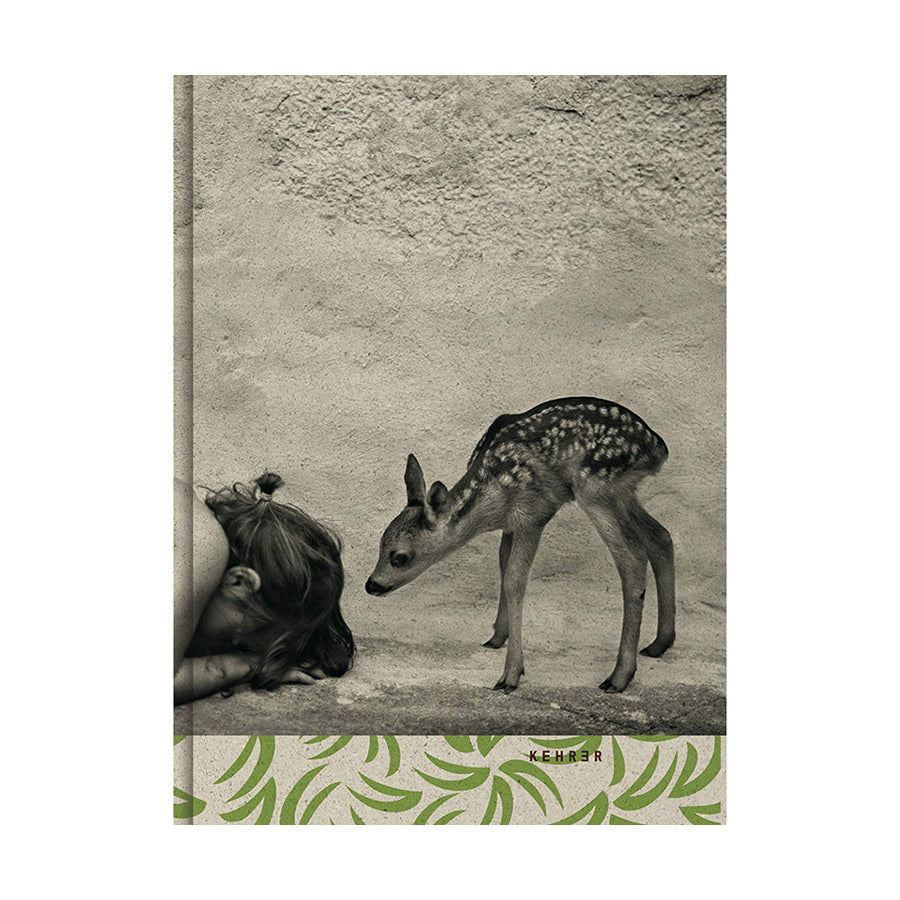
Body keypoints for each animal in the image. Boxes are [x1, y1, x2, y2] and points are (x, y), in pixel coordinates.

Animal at [365, 397, 675, 694]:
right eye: (380, 543)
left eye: (400, 557)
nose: (371, 584)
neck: (491, 500)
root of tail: (658, 447)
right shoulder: (510, 525)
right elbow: (503, 566)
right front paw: (496, 637)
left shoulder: (533, 514)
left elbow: (515, 580)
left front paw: (510, 675)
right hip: (621, 492)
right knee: (661, 536)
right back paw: (659, 643)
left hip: (596, 487)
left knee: (632, 558)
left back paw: (619, 676)